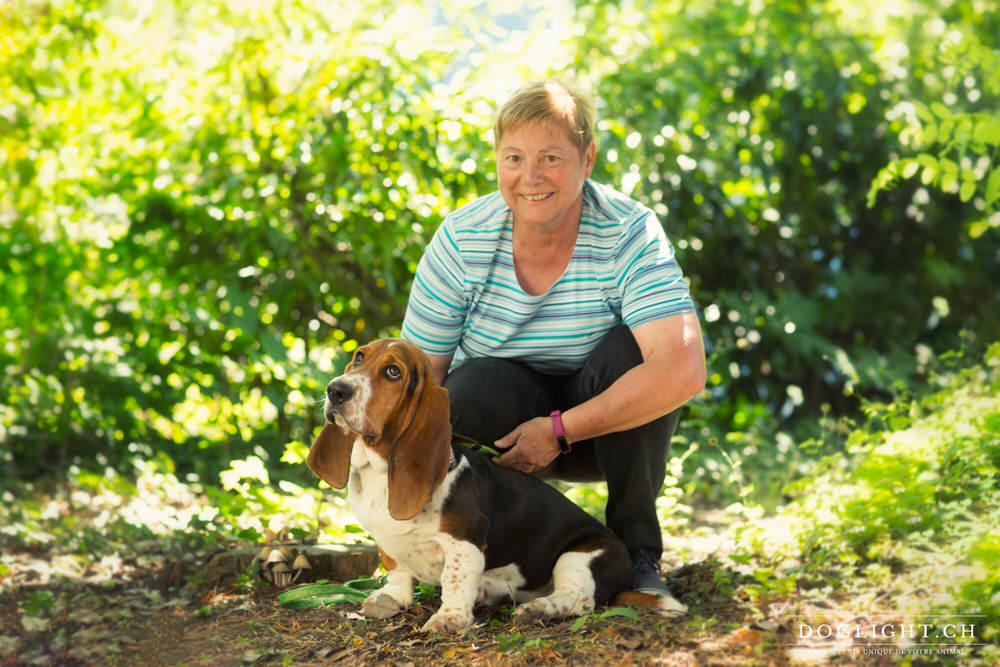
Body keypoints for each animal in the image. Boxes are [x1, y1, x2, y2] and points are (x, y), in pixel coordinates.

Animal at [308, 340, 688, 632]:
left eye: (393, 373)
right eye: (359, 357)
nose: (336, 390)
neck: (380, 471)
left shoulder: (465, 542)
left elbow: (455, 580)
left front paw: (449, 619)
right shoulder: (387, 542)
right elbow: (396, 568)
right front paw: (391, 598)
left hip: (581, 556)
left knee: (577, 600)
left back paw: (538, 609)